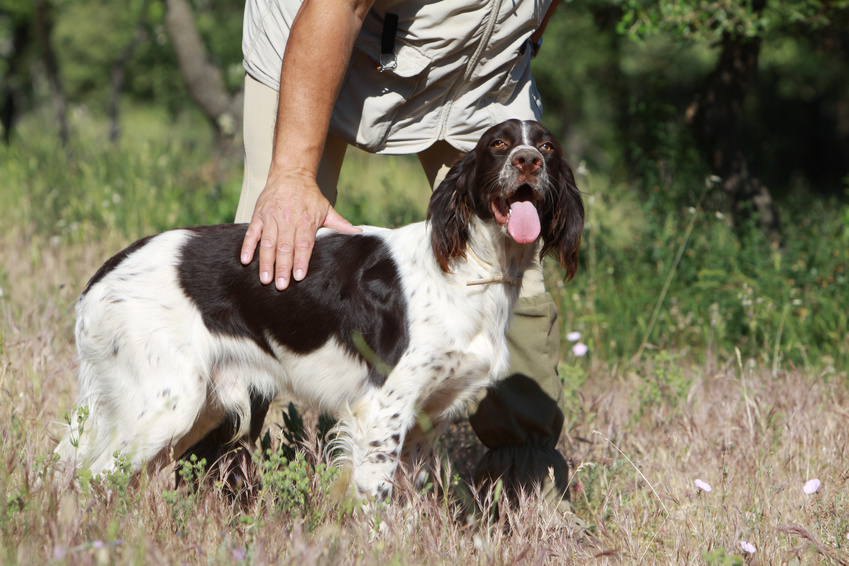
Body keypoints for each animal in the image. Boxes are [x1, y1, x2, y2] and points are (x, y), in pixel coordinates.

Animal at [54, 120, 584, 502]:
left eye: (548, 147)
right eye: (498, 143)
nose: (528, 161)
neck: (472, 268)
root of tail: (104, 275)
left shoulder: (423, 422)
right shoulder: (383, 405)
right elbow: (375, 496)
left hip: (198, 407)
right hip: (166, 403)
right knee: (90, 478)